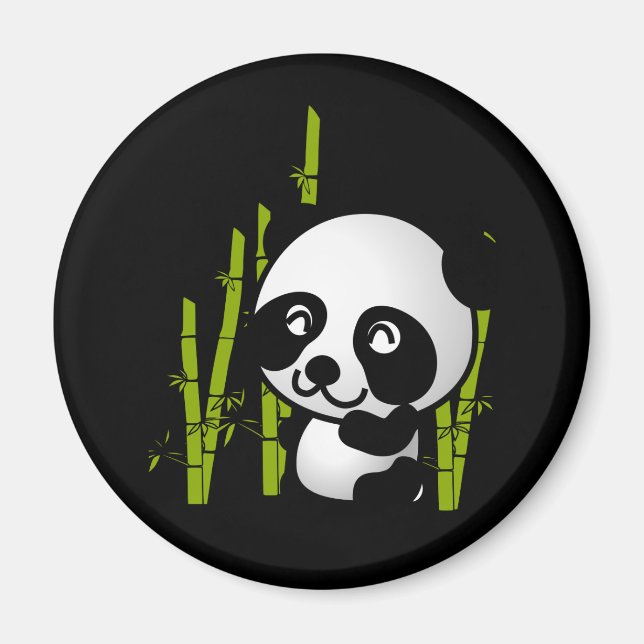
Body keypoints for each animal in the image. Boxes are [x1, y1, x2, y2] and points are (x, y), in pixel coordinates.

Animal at [252, 214, 480, 503]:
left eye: (382, 337)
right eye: (299, 320)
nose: (321, 368)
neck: (333, 418)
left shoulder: (406, 412)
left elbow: (389, 435)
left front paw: (354, 427)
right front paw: (287, 430)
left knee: (395, 478)